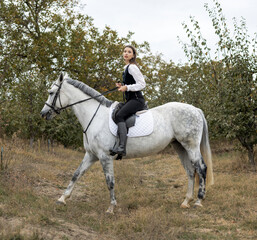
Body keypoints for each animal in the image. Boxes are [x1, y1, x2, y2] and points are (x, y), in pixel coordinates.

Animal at [40, 73, 213, 214]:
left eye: (51, 92)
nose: (43, 114)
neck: (95, 117)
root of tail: (196, 110)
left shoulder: (105, 157)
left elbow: (110, 182)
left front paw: (111, 207)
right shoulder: (91, 155)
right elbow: (76, 174)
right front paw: (62, 199)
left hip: (191, 146)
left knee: (201, 168)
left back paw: (198, 201)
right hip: (179, 146)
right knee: (190, 171)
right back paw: (186, 201)